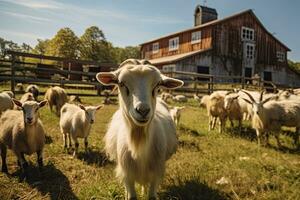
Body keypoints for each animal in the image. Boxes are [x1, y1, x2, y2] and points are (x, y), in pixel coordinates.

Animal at [96, 58, 183, 199]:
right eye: (121, 83)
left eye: (158, 84)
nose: (143, 110)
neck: (139, 141)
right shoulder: (127, 174)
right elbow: (131, 196)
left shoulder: (156, 173)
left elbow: (151, 195)